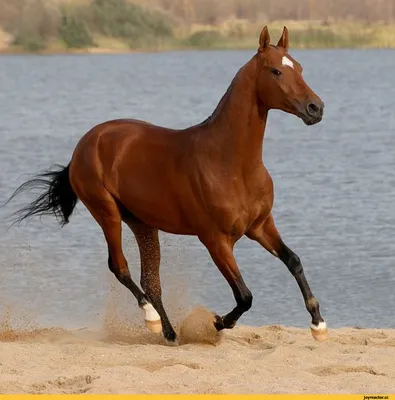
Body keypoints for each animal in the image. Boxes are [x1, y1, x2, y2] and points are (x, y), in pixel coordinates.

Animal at [6, 25, 328, 344]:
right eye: (276, 71)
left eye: (299, 67)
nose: (316, 108)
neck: (230, 164)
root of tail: (84, 145)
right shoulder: (215, 239)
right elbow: (244, 296)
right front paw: (216, 323)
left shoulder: (260, 226)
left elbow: (293, 260)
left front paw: (318, 324)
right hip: (107, 212)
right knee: (120, 266)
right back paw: (152, 320)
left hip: (142, 223)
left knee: (151, 280)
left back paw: (170, 333)